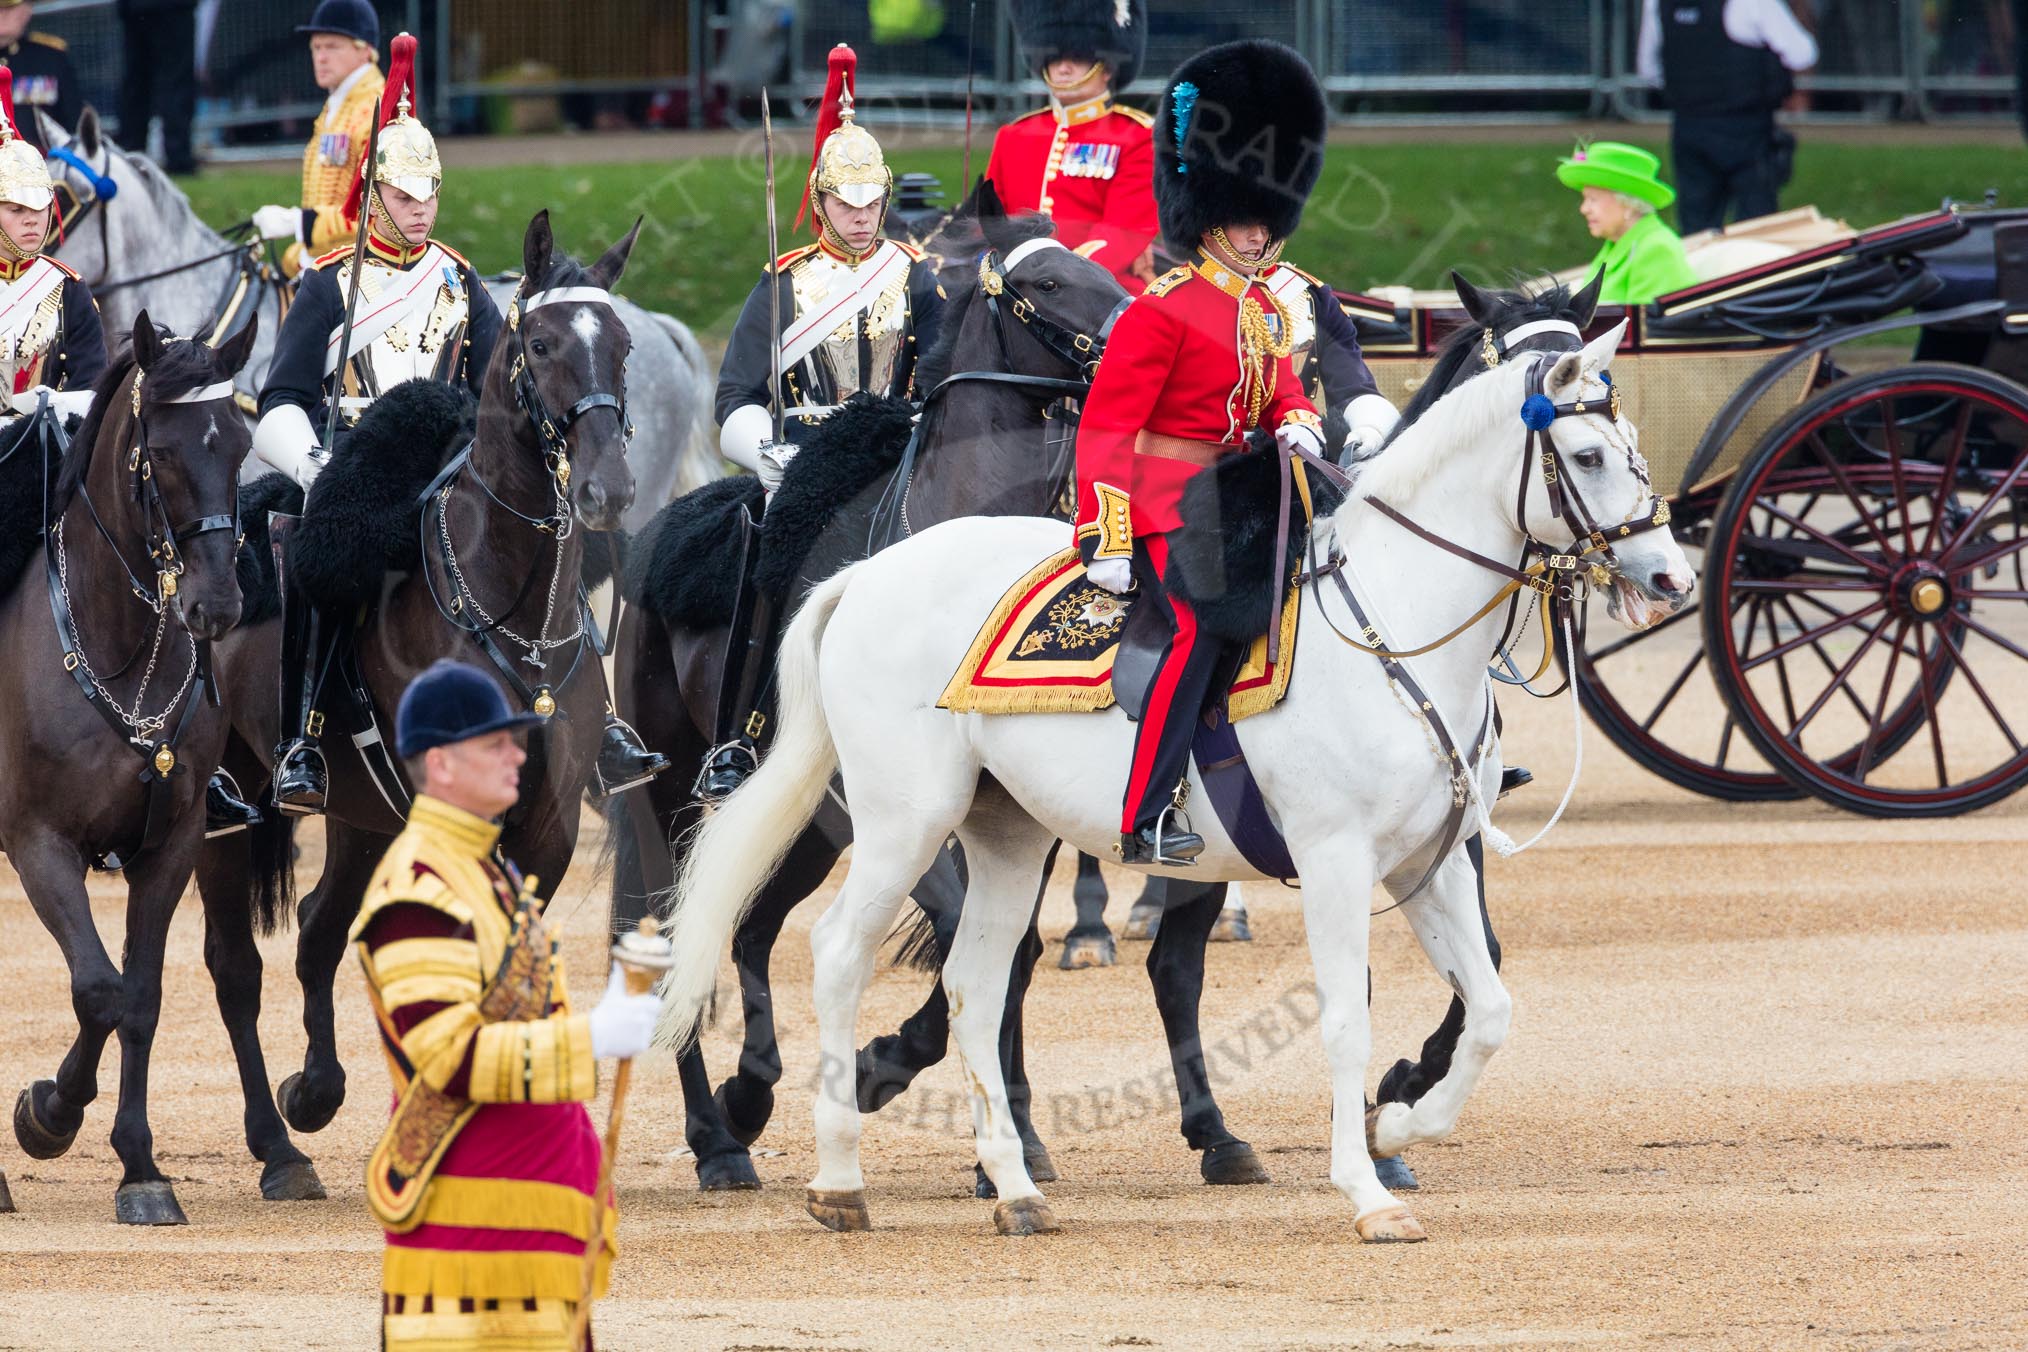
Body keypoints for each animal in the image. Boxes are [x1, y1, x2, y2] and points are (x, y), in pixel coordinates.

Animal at [0, 314, 304, 1224]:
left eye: (238, 445)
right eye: (159, 453)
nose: (218, 606)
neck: (113, 637)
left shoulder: (170, 844)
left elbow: (137, 998)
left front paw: (139, 1166)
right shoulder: (39, 843)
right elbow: (97, 989)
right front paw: (49, 1114)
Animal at [193, 212, 640, 1152]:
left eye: (622, 346)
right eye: (540, 343)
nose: (606, 490)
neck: (510, 611)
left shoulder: (546, 825)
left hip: (360, 815)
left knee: (318, 933)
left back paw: (315, 1091)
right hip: (226, 806)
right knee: (235, 964)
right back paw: (275, 1142)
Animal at [609, 184, 1145, 1192]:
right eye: (1050, 281)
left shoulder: (1015, 822)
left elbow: (1008, 955)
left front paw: (1014, 1137)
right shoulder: (886, 813)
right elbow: (961, 938)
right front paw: (878, 1070)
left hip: (801, 824)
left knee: (748, 928)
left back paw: (751, 1097)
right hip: (677, 800)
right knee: (680, 930)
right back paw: (715, 1136)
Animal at [656, 320, 1696, 1241]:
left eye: (1635, 449)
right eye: (1589, 456)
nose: (1670, 578)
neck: (1393, 626)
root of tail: (864, 575)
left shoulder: (1426, 865)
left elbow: (1489, 1011)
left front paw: (1399, 1125)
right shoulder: (1336, 860)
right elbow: (1344, 1021)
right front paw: (1367, 1193)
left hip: (1006, 835)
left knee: (977, 981)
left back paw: (1013, 1185)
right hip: (902, 821)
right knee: (839, 953)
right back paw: (837, 1179)